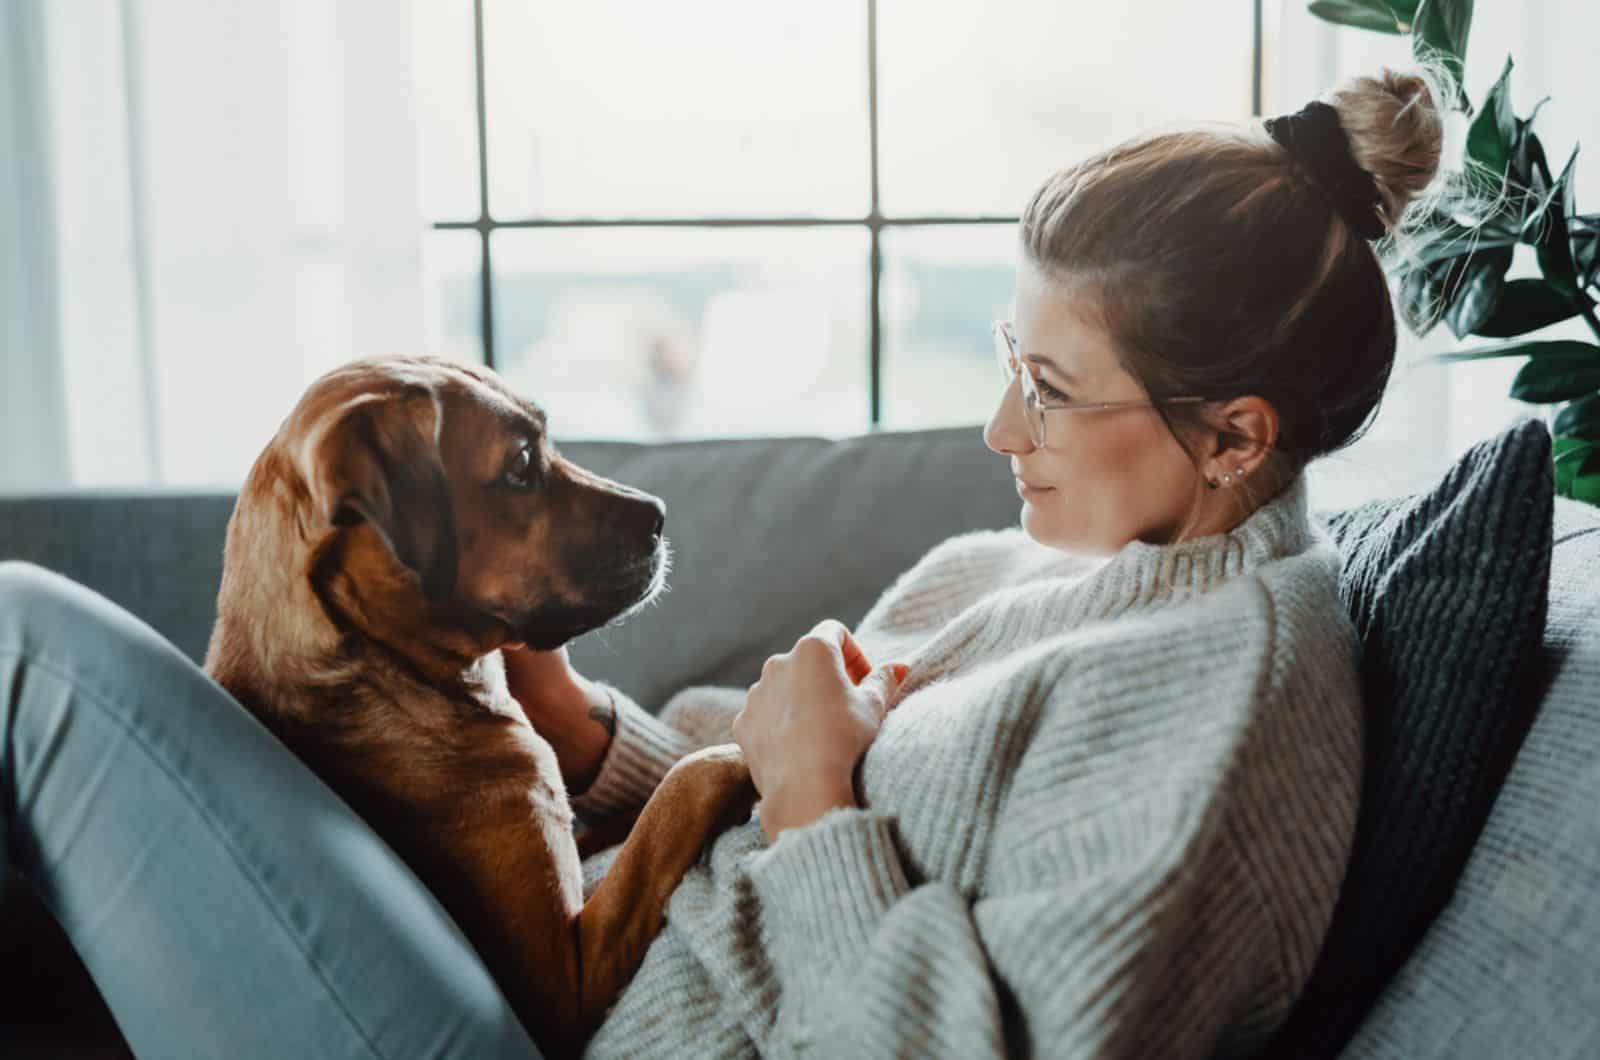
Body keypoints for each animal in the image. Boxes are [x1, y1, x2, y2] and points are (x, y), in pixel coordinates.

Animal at [204, 358, 755, 1060]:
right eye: (520, 465)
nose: (659, 514)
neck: (386, 673)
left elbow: (634, 817)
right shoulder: (565, 980)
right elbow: (682, 791)